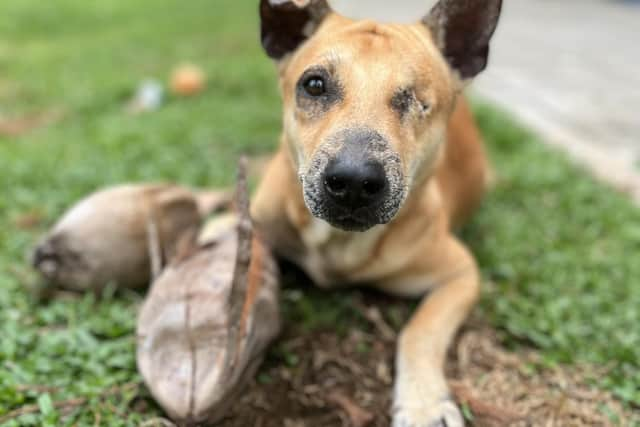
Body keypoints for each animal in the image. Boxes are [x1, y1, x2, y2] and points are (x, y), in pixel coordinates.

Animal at [252, 1, 502, 426]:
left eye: (417, 99)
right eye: (314, 85)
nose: (353, 181)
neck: (339, 244)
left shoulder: (461, 274)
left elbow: (418, 332)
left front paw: (423, 404)